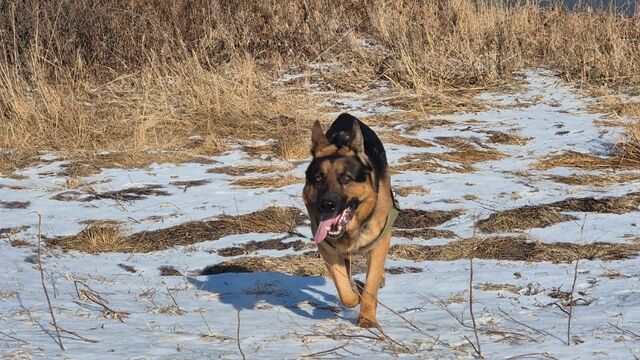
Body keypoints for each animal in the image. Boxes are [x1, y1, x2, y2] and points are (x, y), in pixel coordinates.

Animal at [302, 113, 398, 330]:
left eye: (346, 178)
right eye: (318, 178)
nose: (326, 205)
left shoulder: (380, 240)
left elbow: (371, 283)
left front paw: (367, 319)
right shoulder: (327, 248)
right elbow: (344, 290)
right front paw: (354, 297)